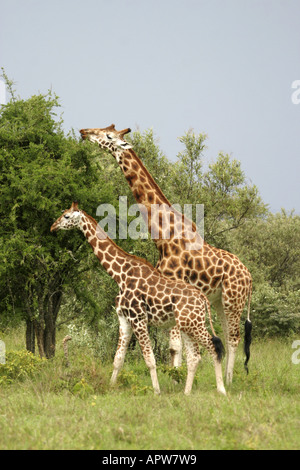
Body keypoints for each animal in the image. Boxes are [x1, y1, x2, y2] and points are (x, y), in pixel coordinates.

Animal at [51, 203, 227, 396]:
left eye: (66, 216)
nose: (53, 227)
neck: (119, 275)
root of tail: (203, 298)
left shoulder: (138, 318)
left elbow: (150, 359)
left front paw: (157, 391)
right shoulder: (124, 319)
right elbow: (118, 359)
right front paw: (111, 387)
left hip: (193, 324)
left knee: (214, 347)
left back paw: (221, 390)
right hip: (187, 324)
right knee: (195, 356)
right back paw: (186, 393)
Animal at [80, 126, 253, 386]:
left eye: (108, 136)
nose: (84, 132)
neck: (163, 236)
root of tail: (250, 277)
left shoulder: (175, 286)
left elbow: (174, 346)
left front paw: (176, 381)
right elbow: (176, 346)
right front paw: (176, 379)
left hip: (234, 299)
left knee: (234, 337)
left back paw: (229, 381)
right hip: (219, 301)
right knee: (225, 334)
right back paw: (223, 377)